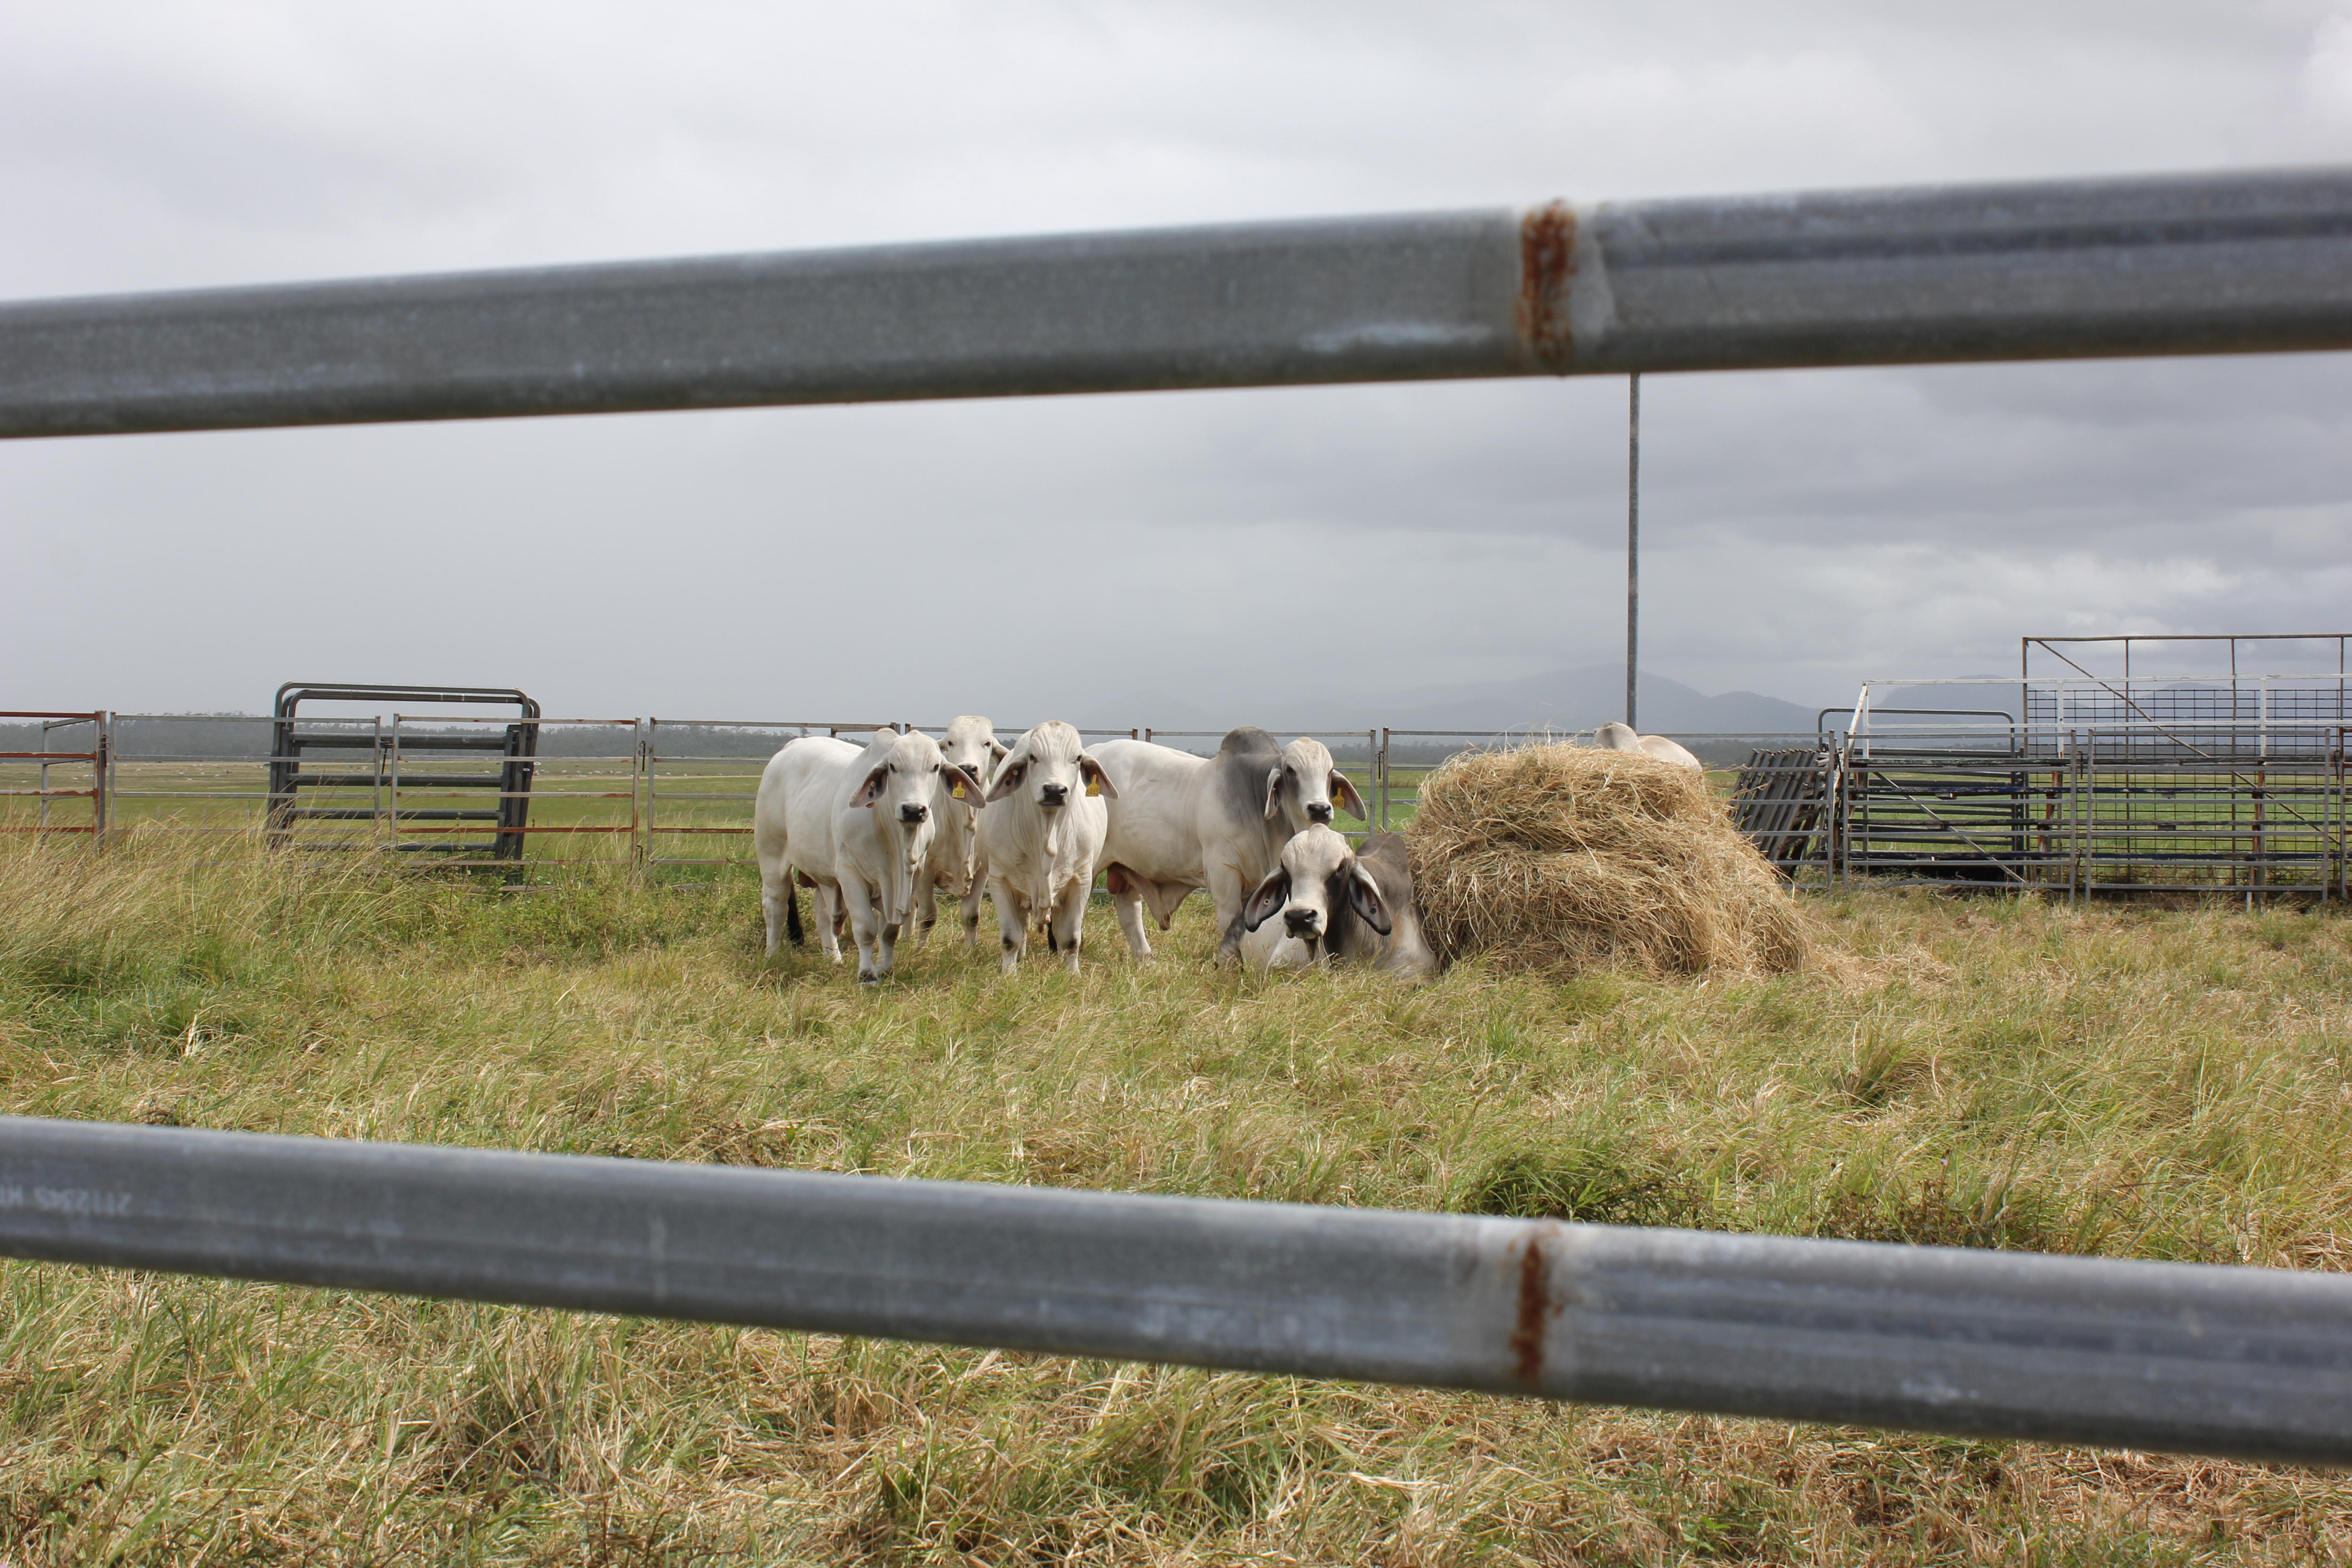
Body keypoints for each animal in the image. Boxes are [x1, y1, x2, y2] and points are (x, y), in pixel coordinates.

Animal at [976, 720, 1116, 974]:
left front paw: (1073, 974)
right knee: (1022, 928)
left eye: (1077, 758)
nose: (1054, 790)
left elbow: (1071, 938)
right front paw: (1008, 975)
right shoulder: (999, 880)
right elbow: (1010, 938)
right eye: (1033, 757)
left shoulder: (1081, 880)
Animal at [1091, 726, 1367, 965]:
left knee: (1129, 914)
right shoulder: (1223, 872)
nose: (1320, 809)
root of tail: (1093, 751)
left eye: (1330, 771)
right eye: (1291, 770)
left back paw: (1147, 960)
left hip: (1125, 868)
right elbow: (1231, 921)